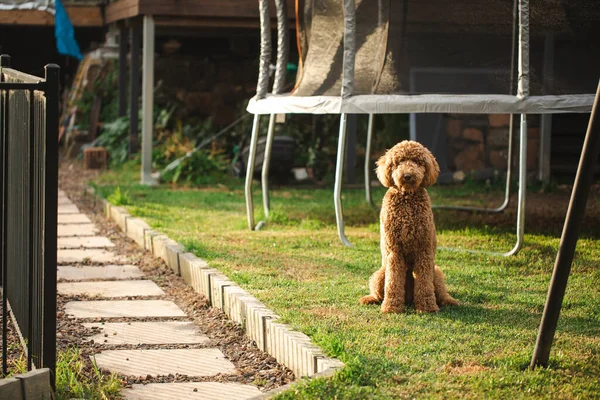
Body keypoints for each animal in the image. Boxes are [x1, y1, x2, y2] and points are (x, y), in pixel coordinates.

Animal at [356, 141, 460, 312]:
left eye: (418, 162)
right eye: (399, 162)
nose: (407, 176)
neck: (407, 198)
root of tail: (409, 299)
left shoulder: (424, 249)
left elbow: (424, 282)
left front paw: (427, 307)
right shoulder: (394, 251)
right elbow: (393, 282)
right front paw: (391, 307)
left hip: (436, 272)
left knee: (441, 292)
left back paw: (449, 301)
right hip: (380, 274)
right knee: (378, 292)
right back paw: (370, 299)